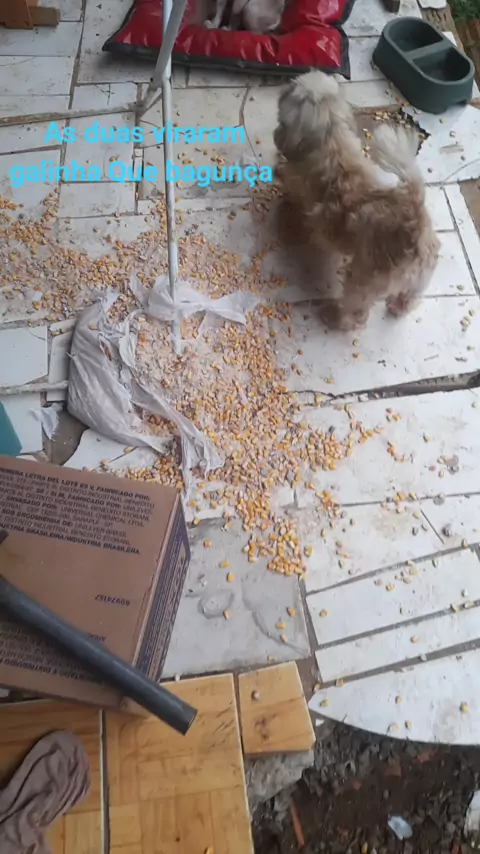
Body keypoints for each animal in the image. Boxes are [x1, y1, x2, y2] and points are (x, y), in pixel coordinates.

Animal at [273, 71, 439, 330]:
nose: (284, 86)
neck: (332, 138)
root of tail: (415, 223)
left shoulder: (297, 177)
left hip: (363, 279)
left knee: (358, 310)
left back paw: (337, 317)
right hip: (418, 280)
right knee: (409, 299)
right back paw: (397, 307)